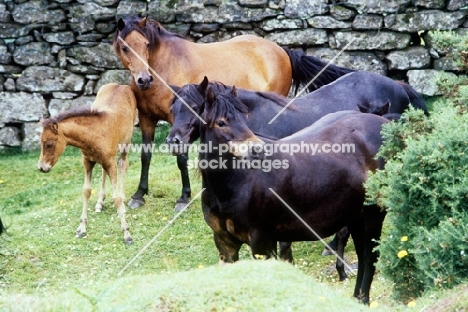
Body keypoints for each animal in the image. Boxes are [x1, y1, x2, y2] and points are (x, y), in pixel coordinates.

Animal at [37, 83, 136, 244]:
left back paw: (123, 198)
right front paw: (81, 229)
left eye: (49, 144)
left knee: (123, 164)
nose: (41, 167)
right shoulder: (87, 161)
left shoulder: (110, 162)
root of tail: (121, 84)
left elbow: (116, 198)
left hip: (125, 144)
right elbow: (86, 191)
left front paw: (126, 233)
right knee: (103, 171)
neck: (94, 134)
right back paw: (100, 202)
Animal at [114, 14, 354, 210]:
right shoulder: (147, 119)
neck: (164, 67)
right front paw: (139, 195)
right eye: (125, 47)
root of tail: (280, 50)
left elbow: (181, 159)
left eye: (146, 44)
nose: (144, 79)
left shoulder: (178, 123)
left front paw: (184, 198)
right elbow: (146, 155)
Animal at [197, 86, 388, 304]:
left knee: (370, 256)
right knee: (362, 256)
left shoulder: (261, 242)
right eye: (221, 123)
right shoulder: (225, 245)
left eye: (245, 118)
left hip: (374, 214)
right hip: (356, 216)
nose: (257, 150)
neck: (234, 185)